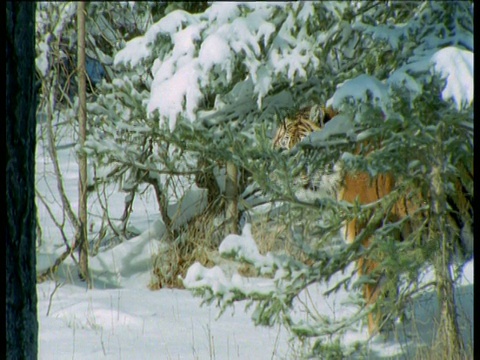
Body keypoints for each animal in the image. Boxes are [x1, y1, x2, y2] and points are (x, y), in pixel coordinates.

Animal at [274, 103, 472, 334]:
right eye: (285, 151)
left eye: (307, 151)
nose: (293, 176)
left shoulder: (371, 245)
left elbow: (376, 304)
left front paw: (377, 339)